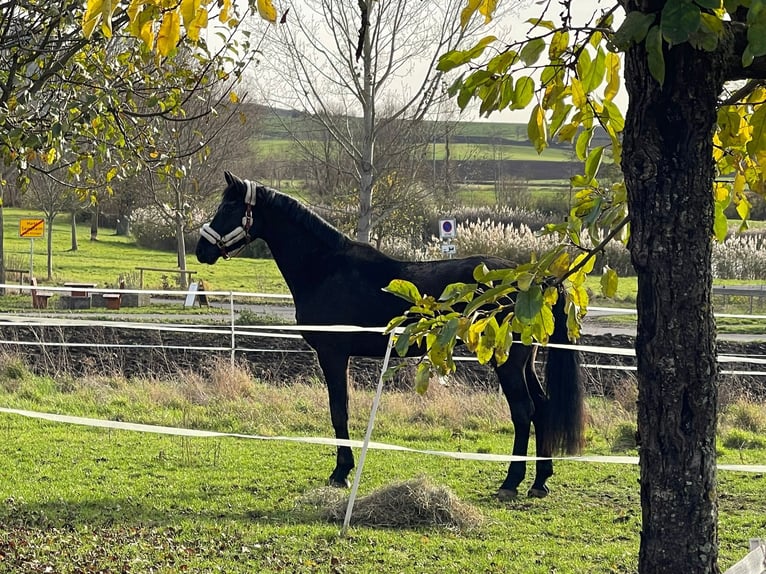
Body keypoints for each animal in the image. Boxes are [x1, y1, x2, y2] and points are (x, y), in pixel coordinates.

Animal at [195, 171, 584, 500]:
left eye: (228, 207)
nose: (201, 250)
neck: (325, 268)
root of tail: (540, 279)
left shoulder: (333, 354)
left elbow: (339, 410)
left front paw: (341, 473)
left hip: (508, 362)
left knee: (523, 411)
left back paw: (511, 483)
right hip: (524, 360)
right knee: (542, 408)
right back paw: (540, 482)